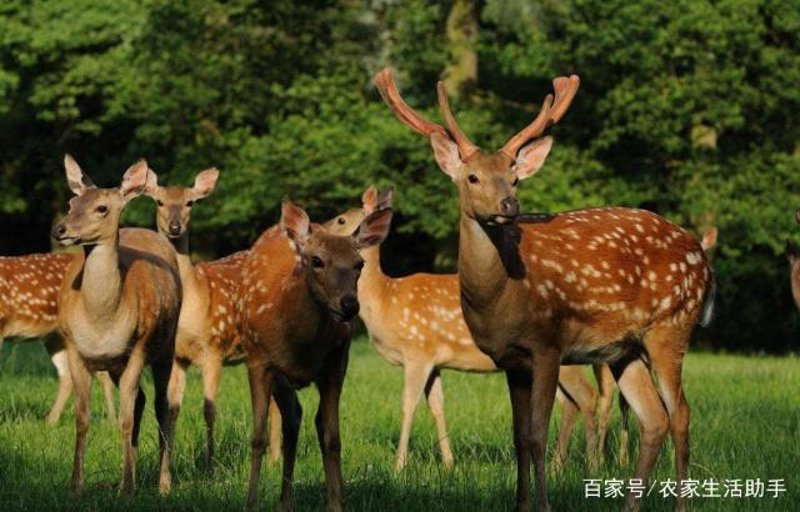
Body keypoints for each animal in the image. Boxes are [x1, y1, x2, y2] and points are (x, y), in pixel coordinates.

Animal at [51, 156, 182, 495]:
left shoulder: (138, 348)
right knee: (142, 401)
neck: (102, 322)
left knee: (163, 406)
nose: (60, 229)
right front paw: (76, 485)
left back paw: (163, 483)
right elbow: (82, 418)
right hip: (116, 364)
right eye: (71, 203)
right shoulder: (75, 348)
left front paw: (126, 489)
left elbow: (124, 419)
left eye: (102, 208)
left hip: (166, 346)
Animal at [142, 168, 281, 469]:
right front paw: (168, 462)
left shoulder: (214, 351)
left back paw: (275, 458)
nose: (174, 227)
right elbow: (172, 410)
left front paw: (210, 463)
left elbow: (209, 408)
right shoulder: (178, 357)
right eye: (159, 201)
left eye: (190, 203)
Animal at [238, 200, 392, 511]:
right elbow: (258, 437)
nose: (349, 305)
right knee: (292, 417)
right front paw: (250, 503)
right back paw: (284, 501)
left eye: (359, 264)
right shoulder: (258, 361)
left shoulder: (337, 364)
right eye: (317, 261)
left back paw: (292, 500)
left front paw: (337, 504)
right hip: (277, 374)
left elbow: (332, 437)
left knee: (303, 419)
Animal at [325, 185, 611, 473]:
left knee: (587, 397)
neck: (385, 301)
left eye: (341, 219)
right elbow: (437, 406)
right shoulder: (435, 361)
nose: (316, 230)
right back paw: (557, 466)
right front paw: (449, 463)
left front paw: (399, 466)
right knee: (569, 403)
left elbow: (408, 404)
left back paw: (593, 465)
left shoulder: (418, 350)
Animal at [373, 68, 715, 511]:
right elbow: (520, 437)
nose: (508, 205)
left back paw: (680, 503)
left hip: (671, 326)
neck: (502, 297)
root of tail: (703, 259)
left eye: (515, 177)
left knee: (681, 414)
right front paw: (520, 504)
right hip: (624, 349)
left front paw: (544, 504)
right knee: (654, 418)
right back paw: (630, 504)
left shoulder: (548, 343)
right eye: (472, 176)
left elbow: (537, 434)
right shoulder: (511, 359)